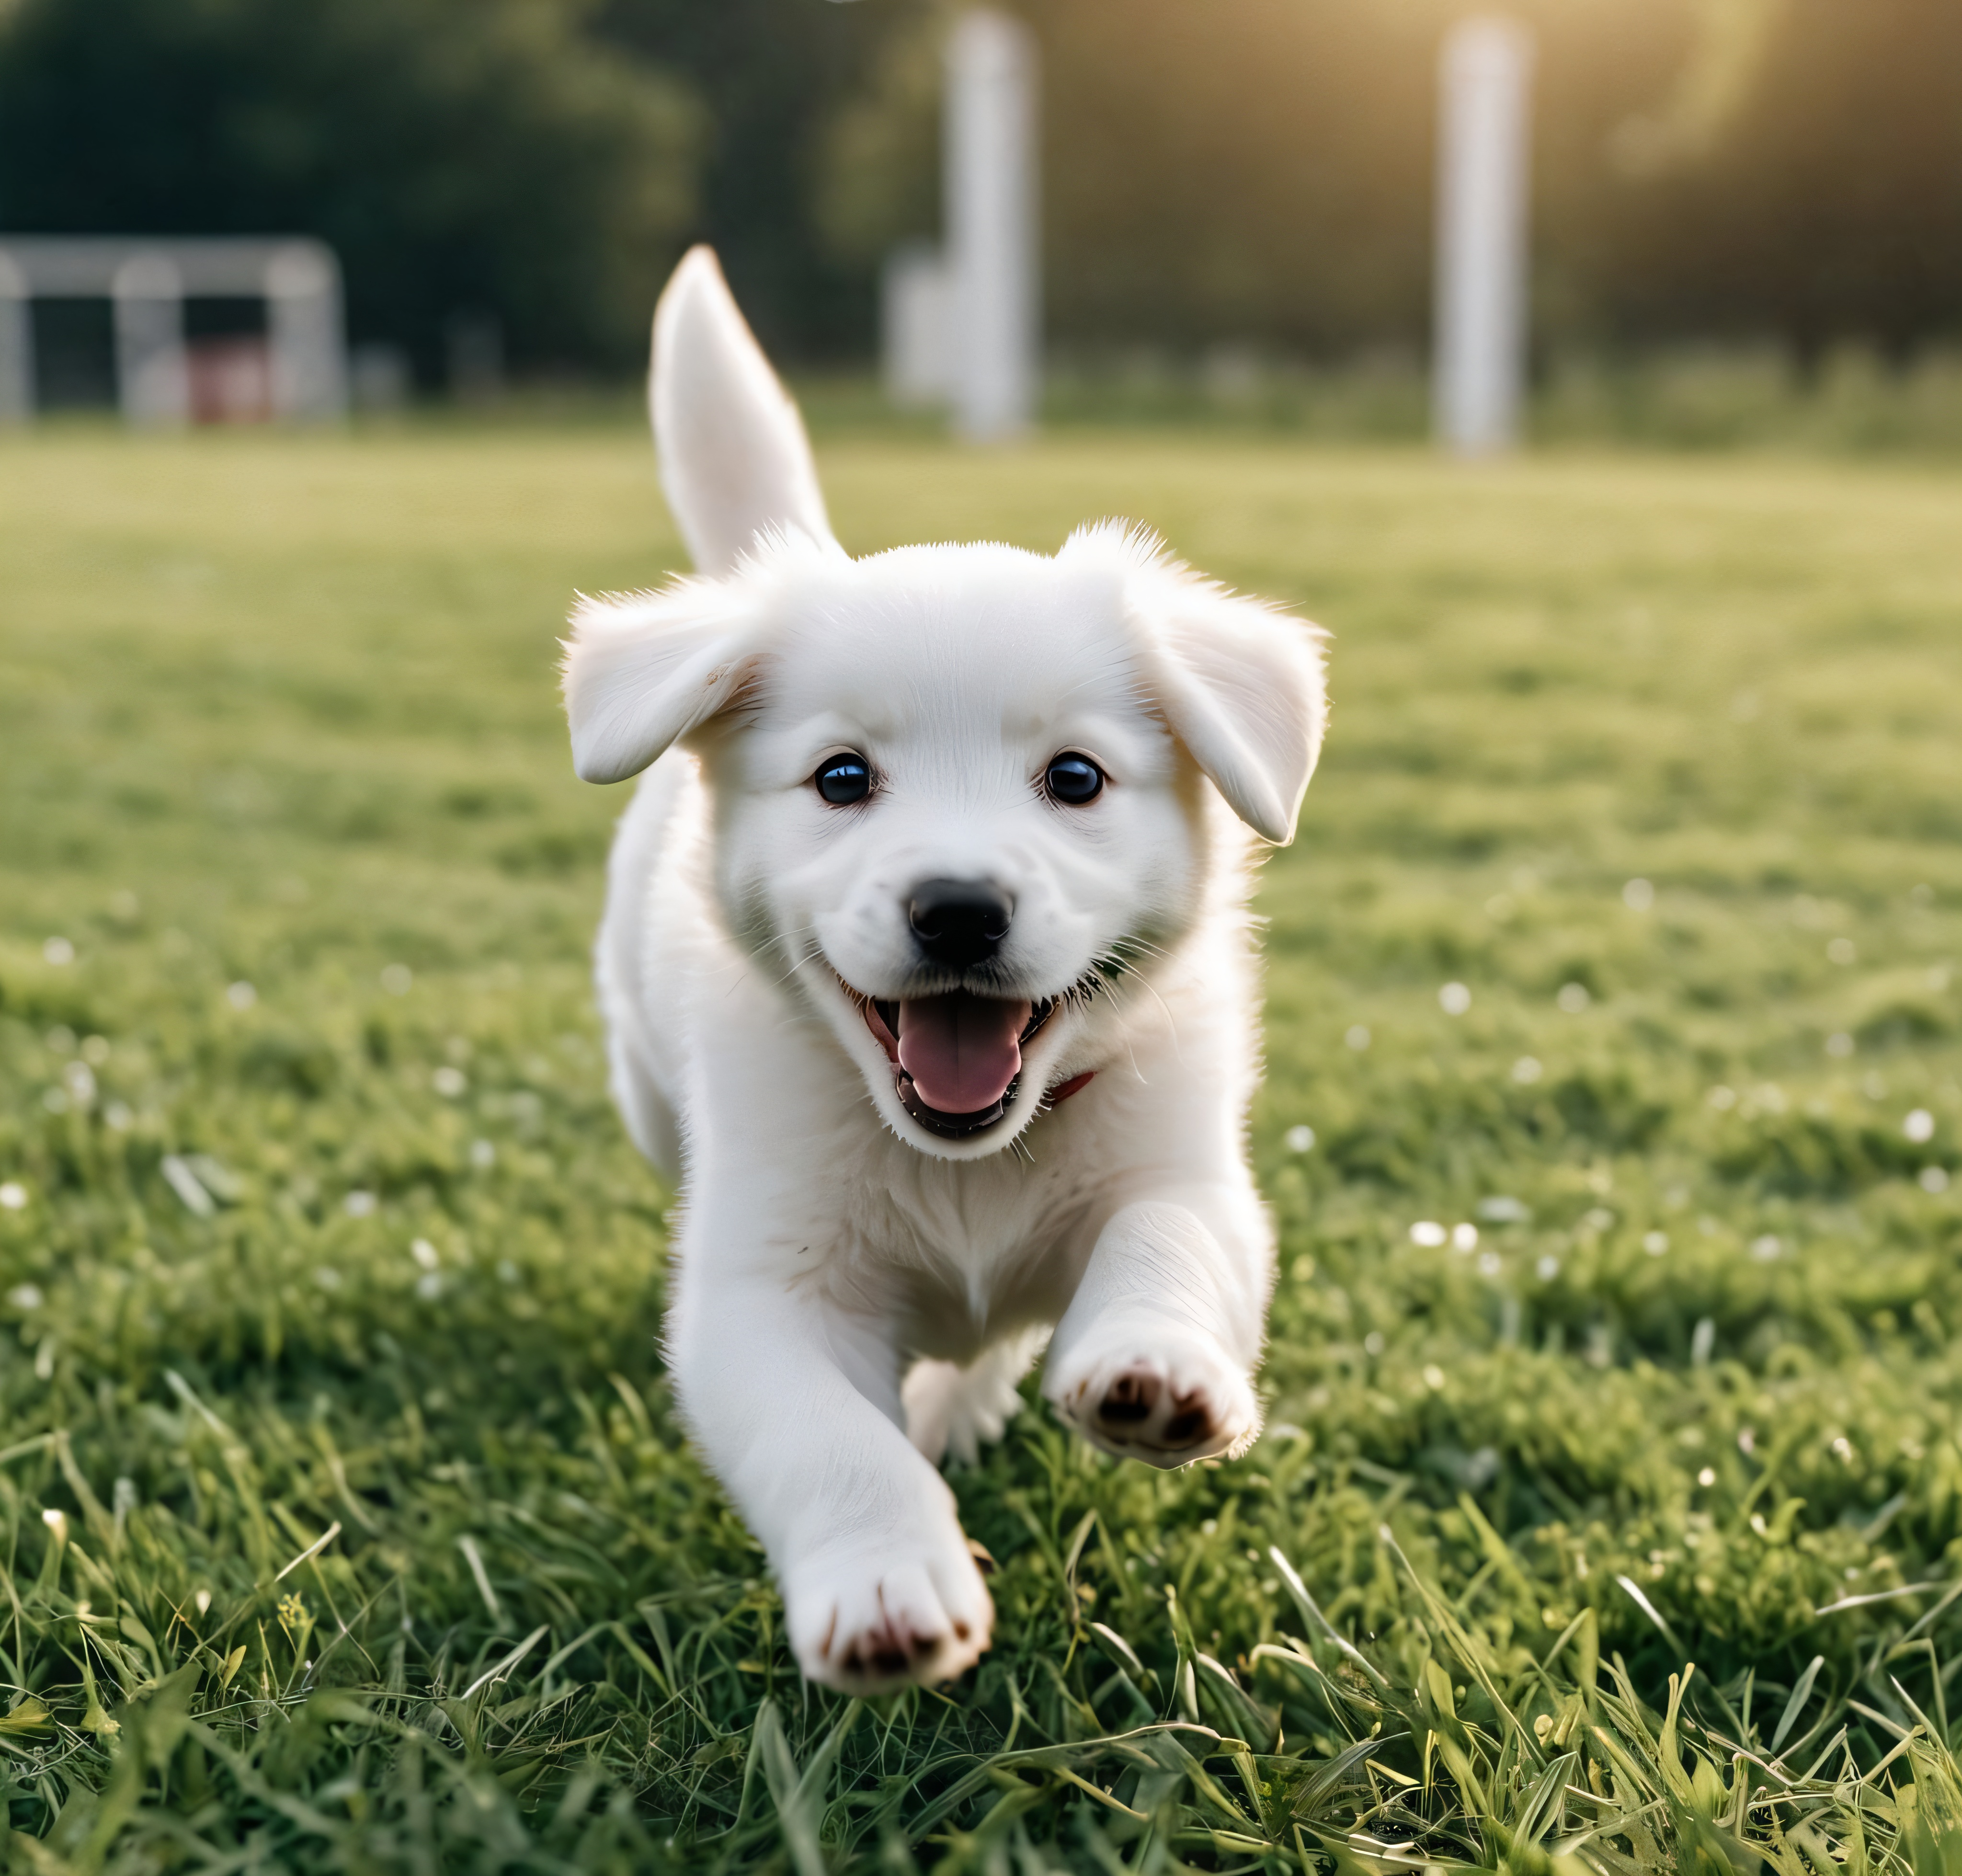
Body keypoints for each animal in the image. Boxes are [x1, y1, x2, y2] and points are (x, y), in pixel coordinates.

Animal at [561, 241, 1326, 1695]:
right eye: (841, 778)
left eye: (1075, 779)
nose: (959, 910)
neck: (966, 1166)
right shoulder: (761, 1292)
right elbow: (829, 1438)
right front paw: (885, 1582)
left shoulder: (1192, 1172)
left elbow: (1167, 1239)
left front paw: (1153, 1364)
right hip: (639, 1088)